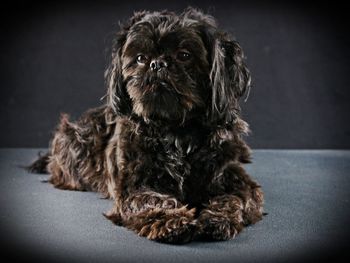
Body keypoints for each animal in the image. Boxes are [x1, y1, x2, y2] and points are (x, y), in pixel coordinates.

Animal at [28, 6, 264, 245]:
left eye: (184, 55)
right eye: (141, 58)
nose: (157, 64)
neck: (176, 130)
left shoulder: (237, 179)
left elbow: (234, 199)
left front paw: (218, 219)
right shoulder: (133, 186)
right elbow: (153, 200)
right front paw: (173, 221)